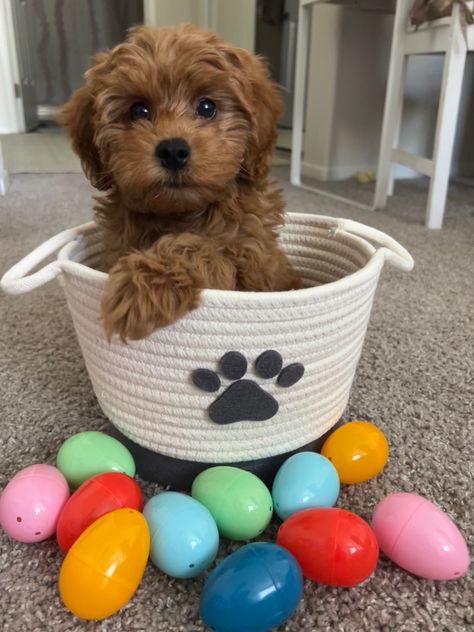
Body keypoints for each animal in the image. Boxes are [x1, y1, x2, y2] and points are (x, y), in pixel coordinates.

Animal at [61, 24, 300, 340]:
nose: (173, 151)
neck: (181, 214)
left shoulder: (254, 267)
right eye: (138, 110)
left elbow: (201, 248)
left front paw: (139, 288)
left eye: (207, 107)